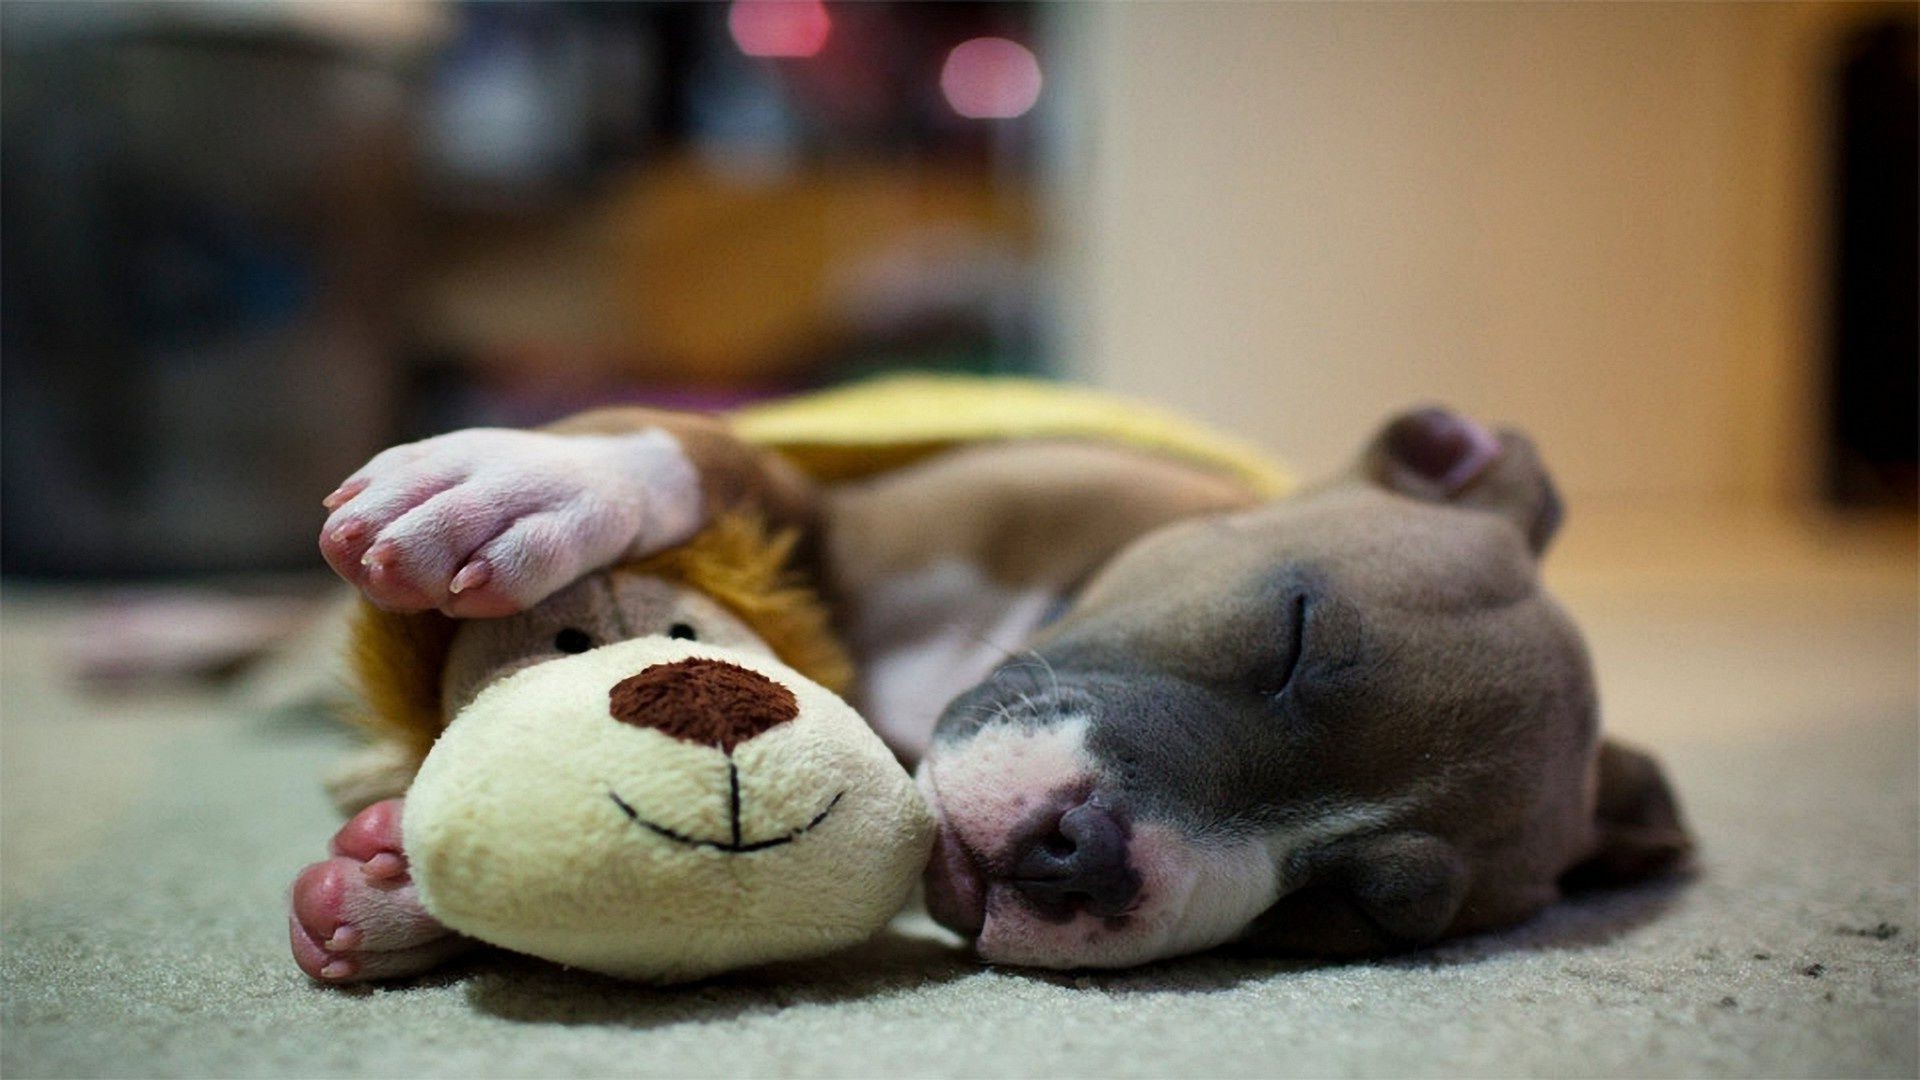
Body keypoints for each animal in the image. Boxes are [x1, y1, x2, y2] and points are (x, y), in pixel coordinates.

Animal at [284, 397, 1681, 976]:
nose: (1085, 858)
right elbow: (711, 449)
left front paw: (396, 890)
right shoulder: (841, 509)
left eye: (1366, 911)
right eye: (1295, 633)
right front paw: (523, 487)